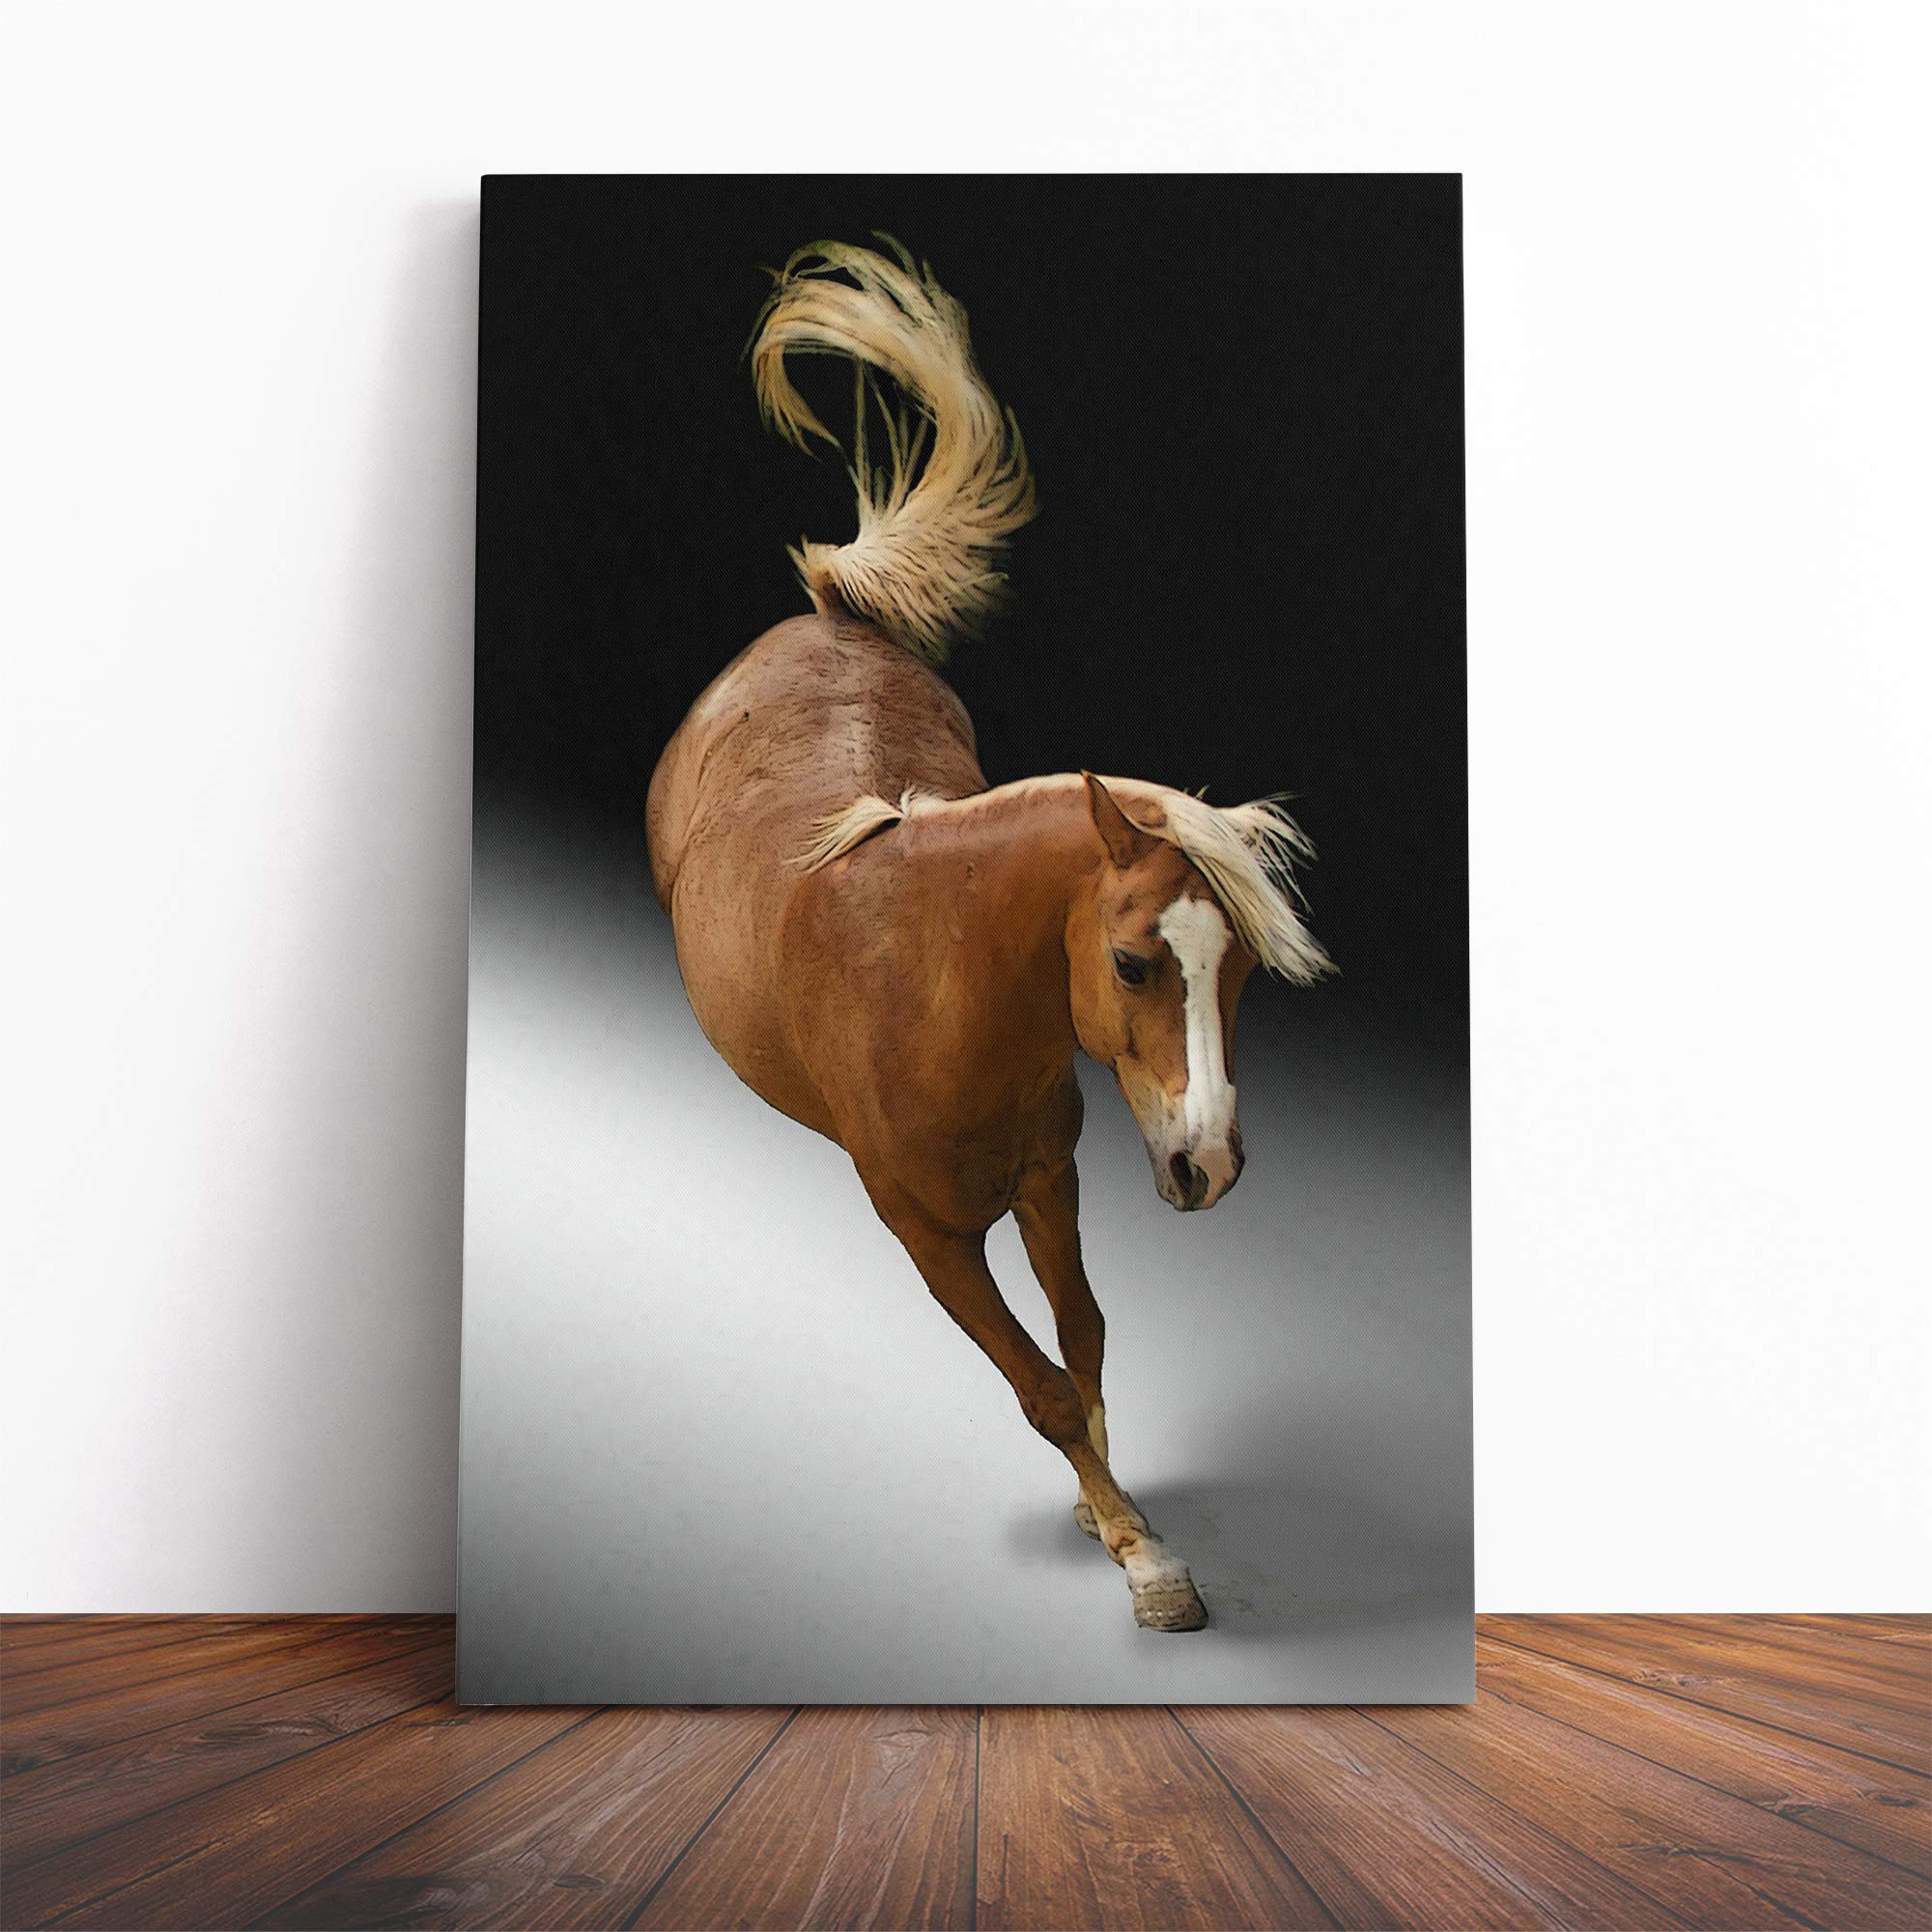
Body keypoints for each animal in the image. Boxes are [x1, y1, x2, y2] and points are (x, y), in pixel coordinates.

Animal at [646, 241, 1332, 1631]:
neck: (931, 988)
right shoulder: (926, 1230)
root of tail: (828, 610)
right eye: (1131, 962)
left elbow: (1087, 1336)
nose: (1209, 1166)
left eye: (1240, 972)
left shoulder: (1046, 1176)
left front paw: (1109, 1511)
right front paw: (1144, 1557)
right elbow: (1040, 1382)